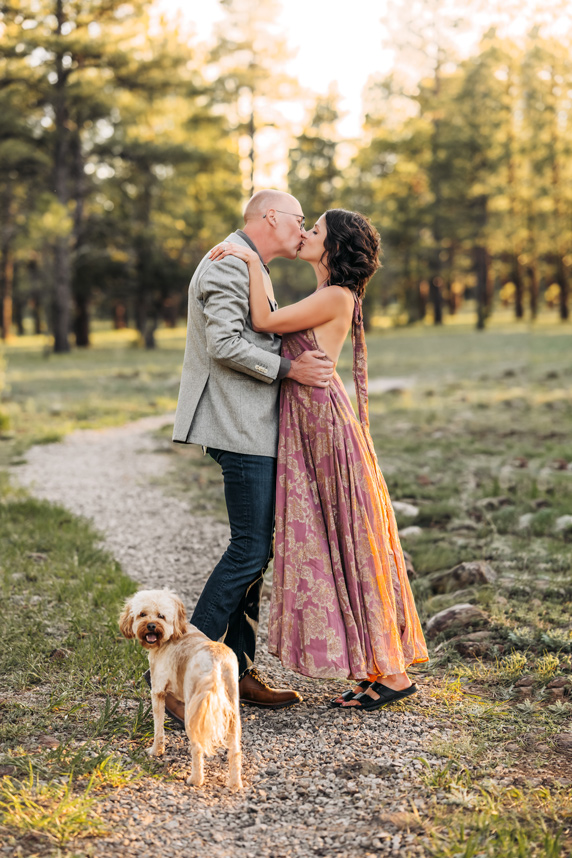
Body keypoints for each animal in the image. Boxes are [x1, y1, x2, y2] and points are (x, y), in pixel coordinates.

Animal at [119, 588, 242, 788]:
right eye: (142, 614)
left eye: (161, 616)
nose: (151, 626)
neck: (174, 633)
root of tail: (214, 660)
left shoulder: (157, 691)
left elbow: (158, 728)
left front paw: (156, 751)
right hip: (232, 711)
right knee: (235, 750)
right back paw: (235, 783)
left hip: (194, 712)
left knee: (197, 748)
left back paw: (195, 780)